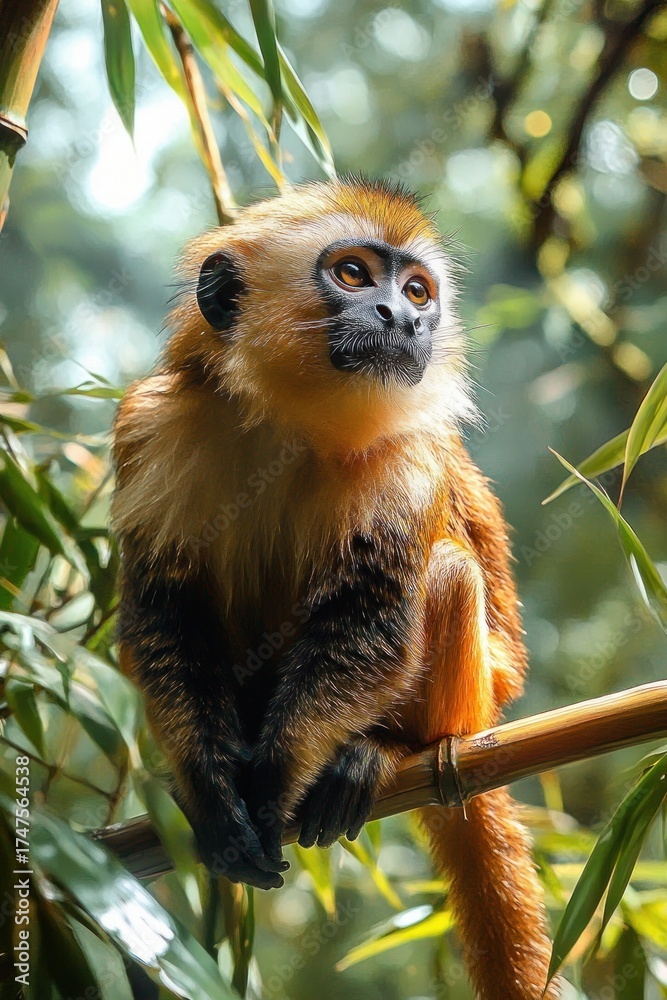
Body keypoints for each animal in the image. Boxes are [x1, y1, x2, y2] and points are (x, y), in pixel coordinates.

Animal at [112, 177, 558, 1000]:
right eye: (354, 275)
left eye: (416, 290)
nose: (405, 318)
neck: (290, 424)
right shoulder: (150, 423)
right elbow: (163, 619)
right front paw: (210, 789)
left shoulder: (408, 456)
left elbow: (371, 623)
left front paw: (276, 784)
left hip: (476, 704)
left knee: (447, 572)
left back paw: (377, 753)